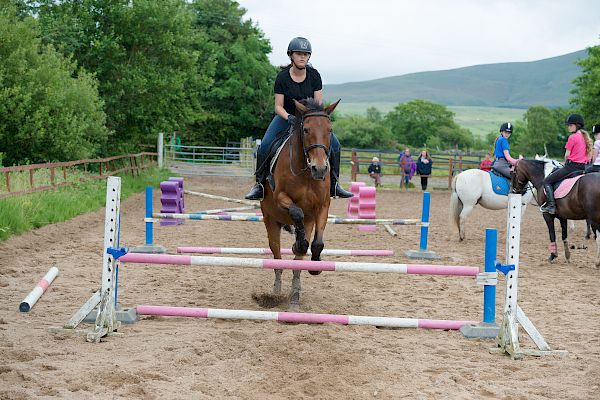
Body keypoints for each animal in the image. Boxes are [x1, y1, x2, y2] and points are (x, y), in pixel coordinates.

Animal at [258, 97, 340, 310]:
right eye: (306, 130)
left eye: (330, 130)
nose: (319, 169)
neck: (306, 173)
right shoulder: (280, 198)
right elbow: (297, 213)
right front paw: (299, 244)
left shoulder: (322, 207)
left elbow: (317, 242)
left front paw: (315, 266)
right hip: (271, 221)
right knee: (277, 258)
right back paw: (276, 292)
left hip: (308, 222)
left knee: (297, 264)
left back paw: (295, 294)